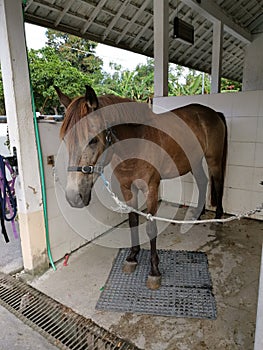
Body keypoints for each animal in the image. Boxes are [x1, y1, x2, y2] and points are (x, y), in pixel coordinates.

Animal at [56, 85, 229, 290]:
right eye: (65, 140)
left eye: (93, 140)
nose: (73, 196)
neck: (136, 143)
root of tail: (213, 113)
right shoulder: (127, 189)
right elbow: (132, 221)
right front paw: (132, 256)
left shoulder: (151, 189)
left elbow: (151, 228)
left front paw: (154, 270)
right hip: (193, 161)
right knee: (203, 182)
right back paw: (197, 213)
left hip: (213, 159)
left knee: (218, 182)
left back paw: (218, 217)